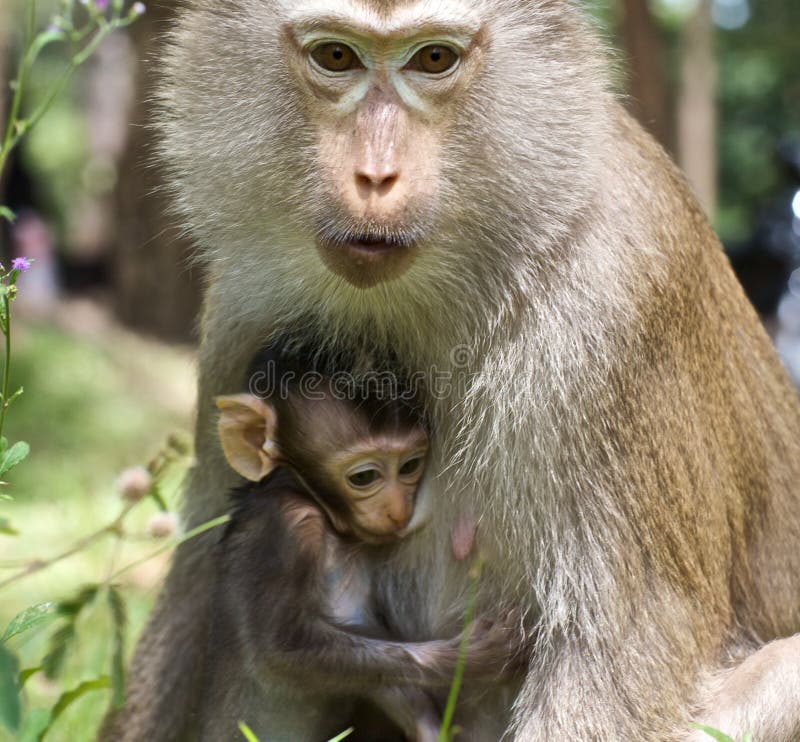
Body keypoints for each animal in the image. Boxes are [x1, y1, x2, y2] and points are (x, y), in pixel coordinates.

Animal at [199, 386, 523, 741]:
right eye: (365, 476)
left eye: (410, 466)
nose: (399, 510)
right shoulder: (286, 525)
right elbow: (279, 651)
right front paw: (471, 656)